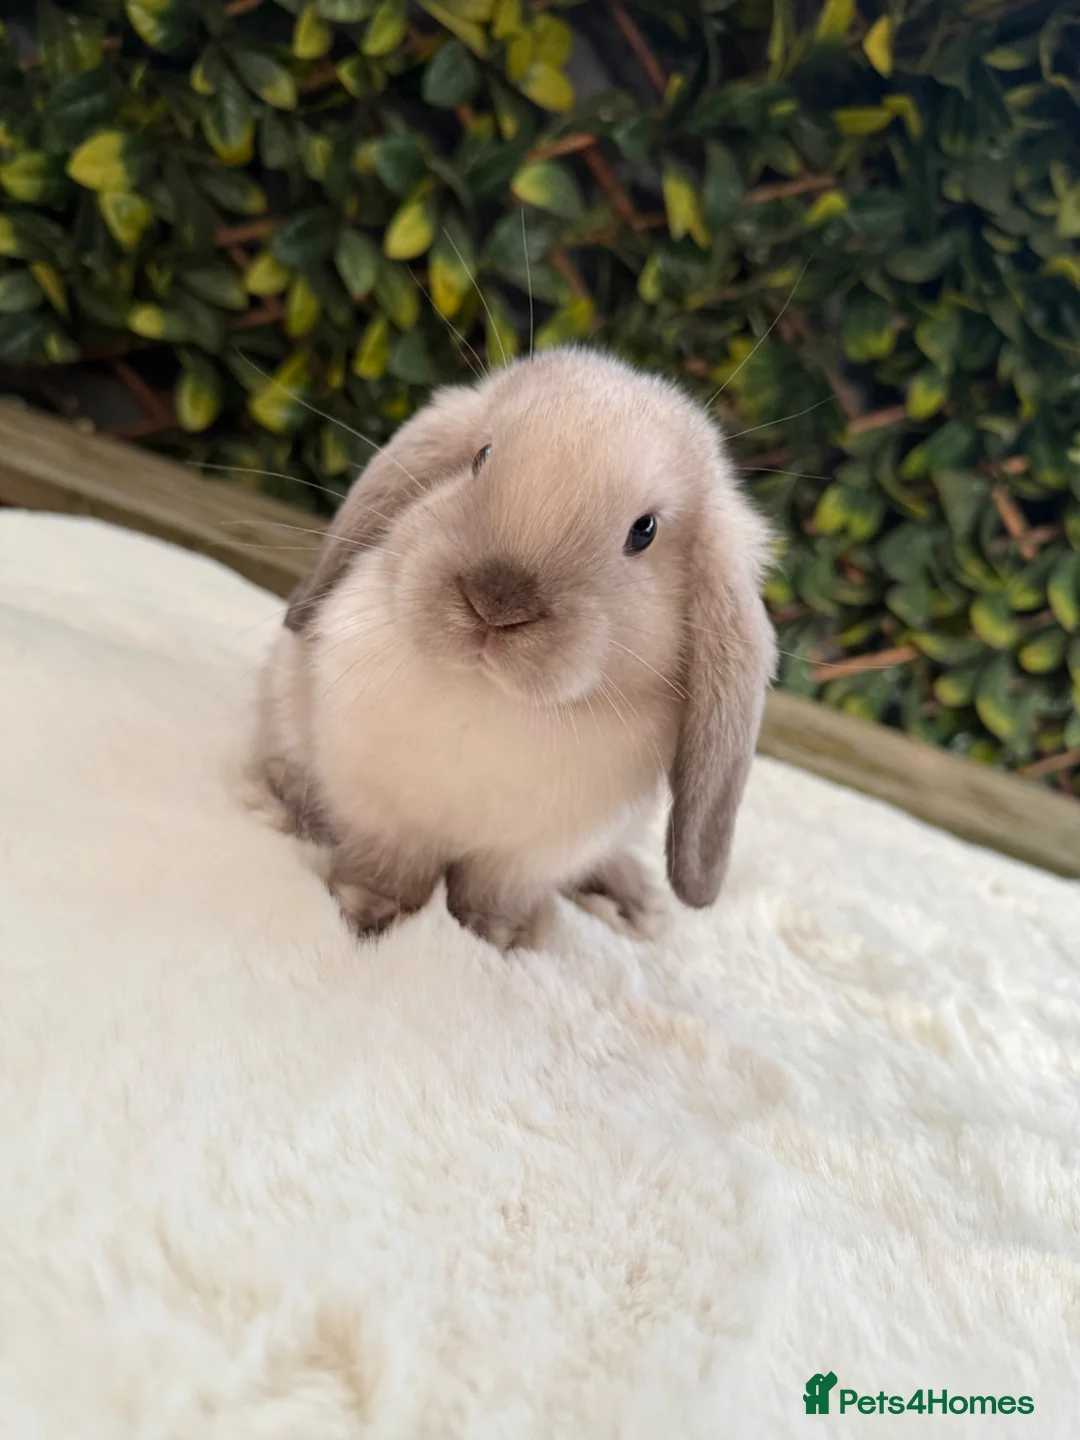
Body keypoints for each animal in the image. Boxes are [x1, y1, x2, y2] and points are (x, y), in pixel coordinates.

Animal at [248, 345, 777, 951]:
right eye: (481, 457)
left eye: (644, 531)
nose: (495, 601)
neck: (490, 699)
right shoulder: (385, 814)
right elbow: (390, 870)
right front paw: (367, 917)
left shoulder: (528, 859)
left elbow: (490, 896)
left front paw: (492, 940)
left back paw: (630, 900)